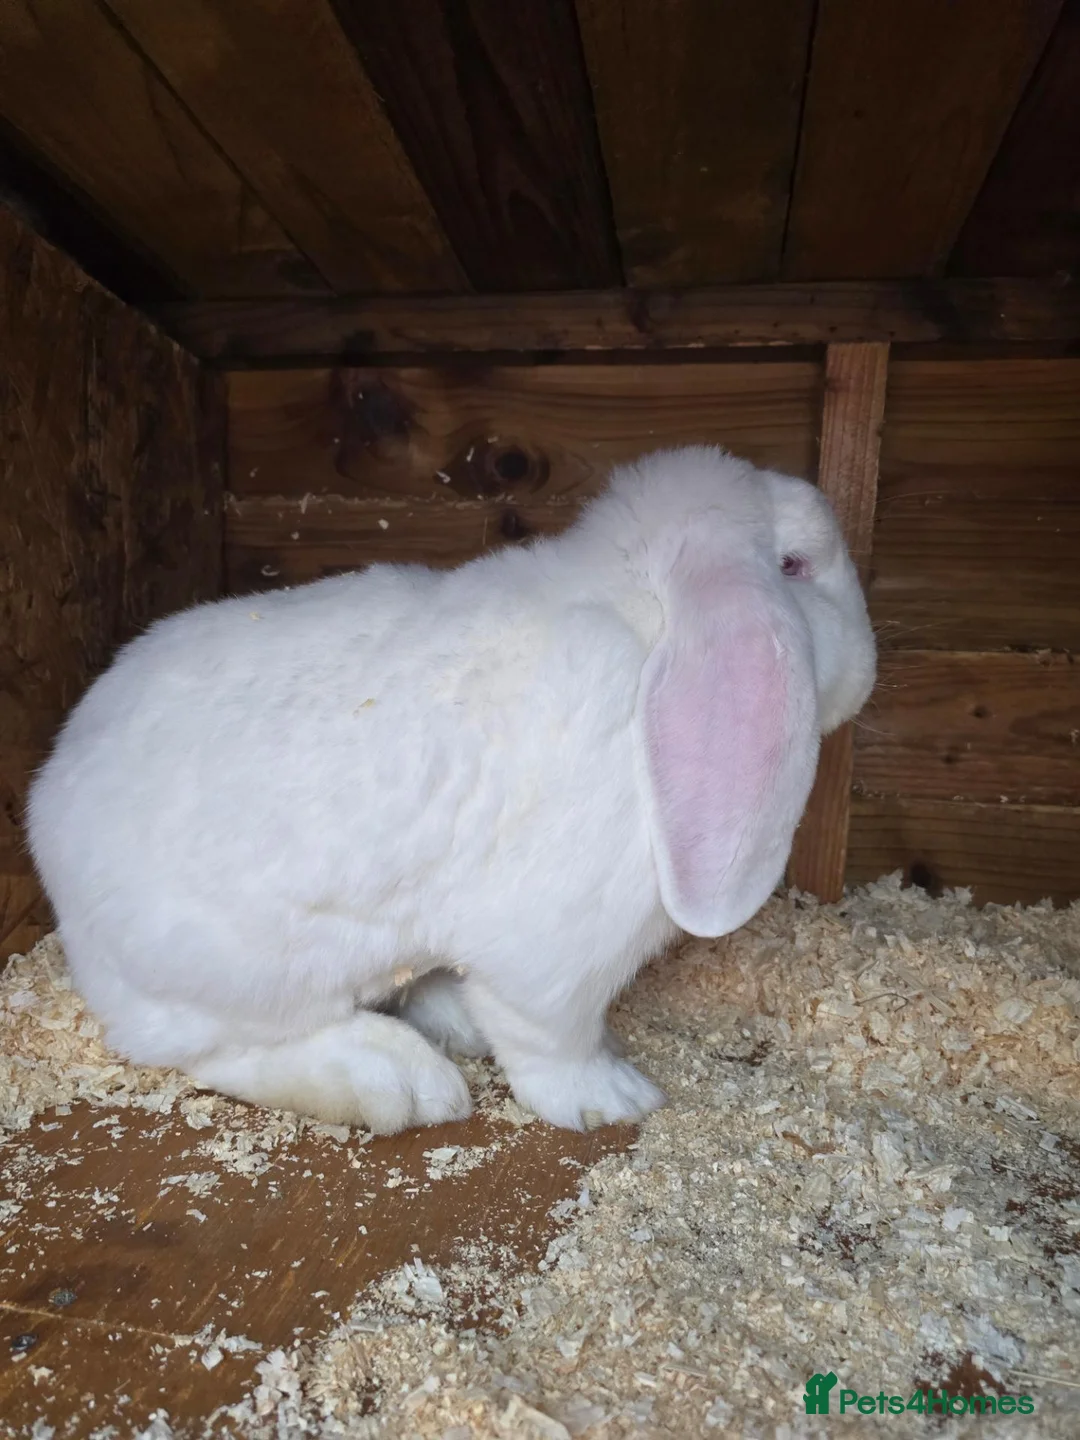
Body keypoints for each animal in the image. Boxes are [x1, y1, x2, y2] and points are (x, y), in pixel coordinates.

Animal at [26, 445, 876, 1134]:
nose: (871, 669)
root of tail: (48, 810)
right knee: (211, 1048)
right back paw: (396, 1082)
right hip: (232, 976)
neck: (645, 626)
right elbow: (552, 1035)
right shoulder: (559, 946)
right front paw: (612, 1099)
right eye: (797, 567)